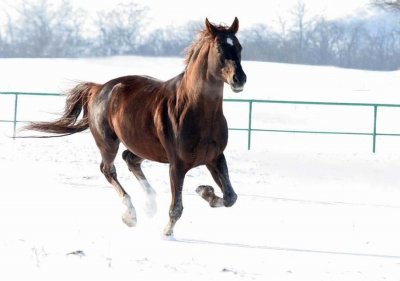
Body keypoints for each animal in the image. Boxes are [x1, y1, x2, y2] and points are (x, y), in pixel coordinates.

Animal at [25, 17, 247, 235]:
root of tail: (99, 89)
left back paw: (149, 205)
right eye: (219, 48)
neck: (195, 110)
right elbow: (176, 207)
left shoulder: (215, 157)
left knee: (129, 159)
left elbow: (231, 197)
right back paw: (130, 215)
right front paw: (167, 232)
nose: (239, 79)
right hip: (109, 143)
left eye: (239, 46)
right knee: (108, 169)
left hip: (144, 147)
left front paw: (205, 191)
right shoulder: (177, 165)